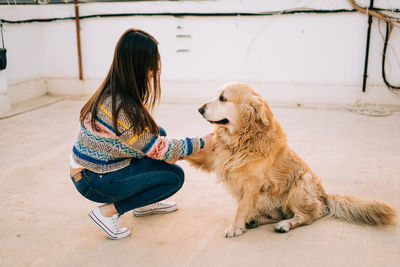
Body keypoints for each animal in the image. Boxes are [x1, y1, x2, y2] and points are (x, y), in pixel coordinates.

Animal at [187, 82, 396, 239]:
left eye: (223, 98)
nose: (199, 109)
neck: (241, 139)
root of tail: (324, 195)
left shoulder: (252, 183)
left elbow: (242, 207)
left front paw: (235, 227)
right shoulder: (213, 158)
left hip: (301, 183)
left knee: (309, 215)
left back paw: (285, 224)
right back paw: (256, 219)